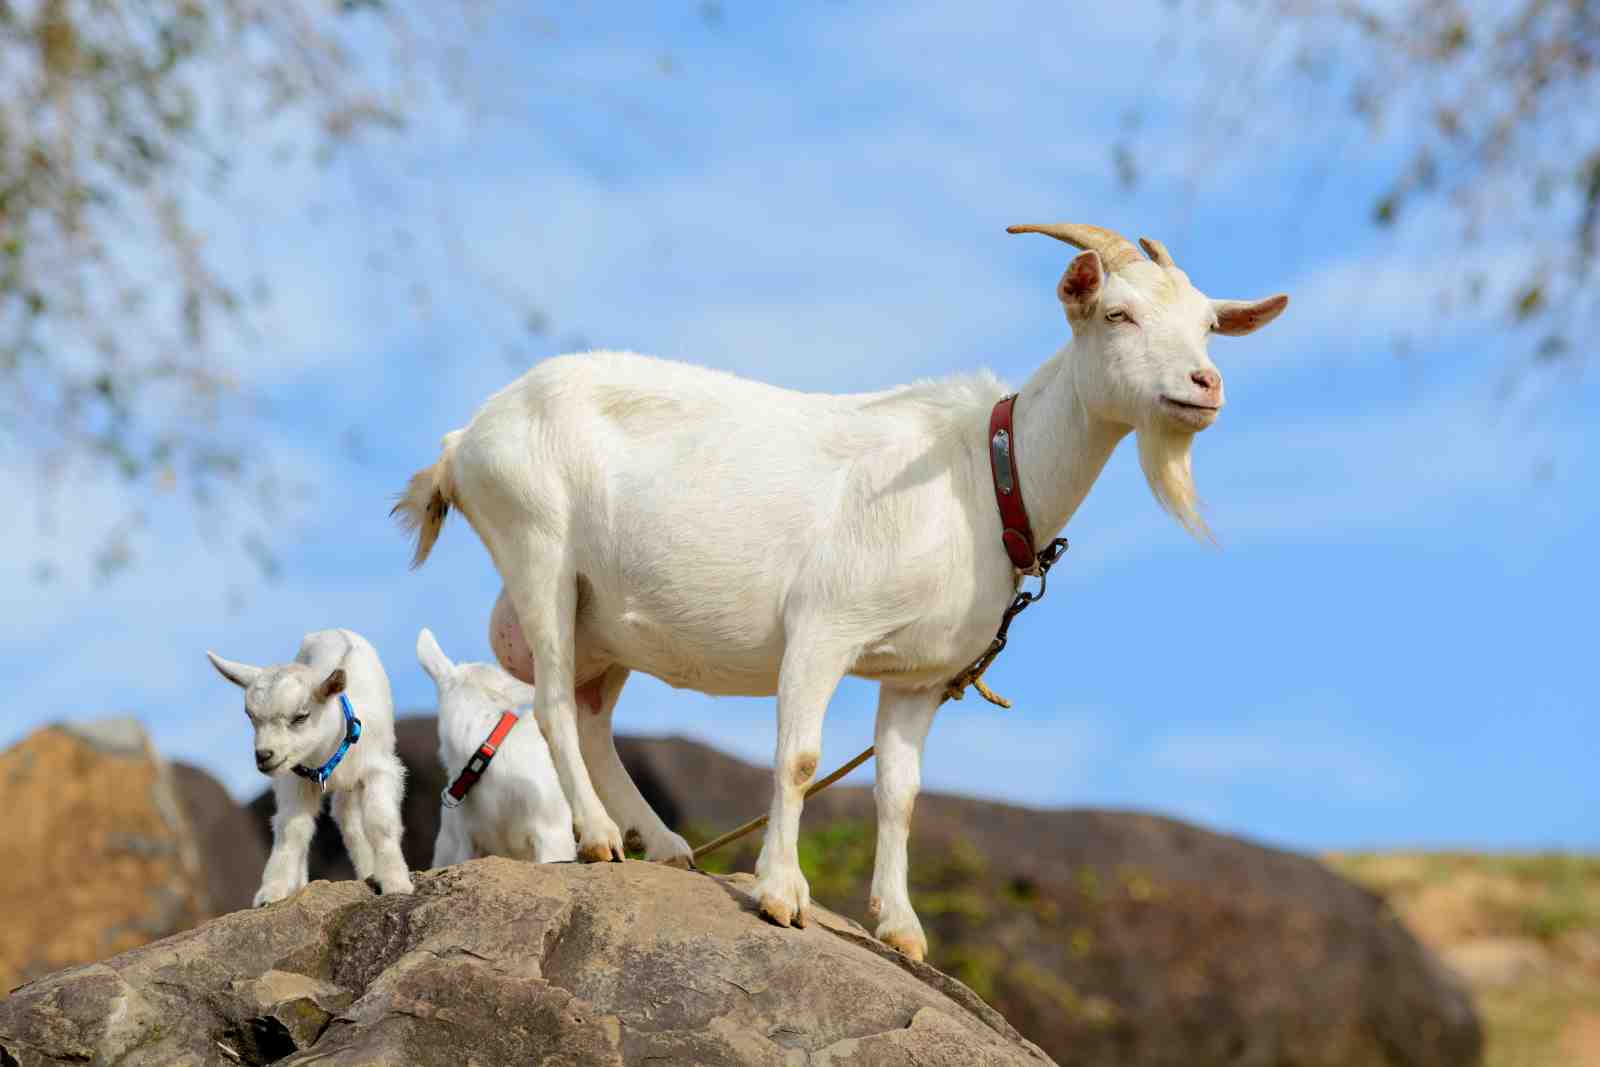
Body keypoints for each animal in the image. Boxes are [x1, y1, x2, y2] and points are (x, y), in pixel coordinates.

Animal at [207, 629, 413, 905]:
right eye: (250, 716)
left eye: (301, 717)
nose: (264, 755)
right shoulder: (294, 778)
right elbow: (292, 829)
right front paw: (272, 891)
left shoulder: (379, 769)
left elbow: (380, 822)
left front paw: (396, 882)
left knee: (348, 818)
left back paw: (370, 871)